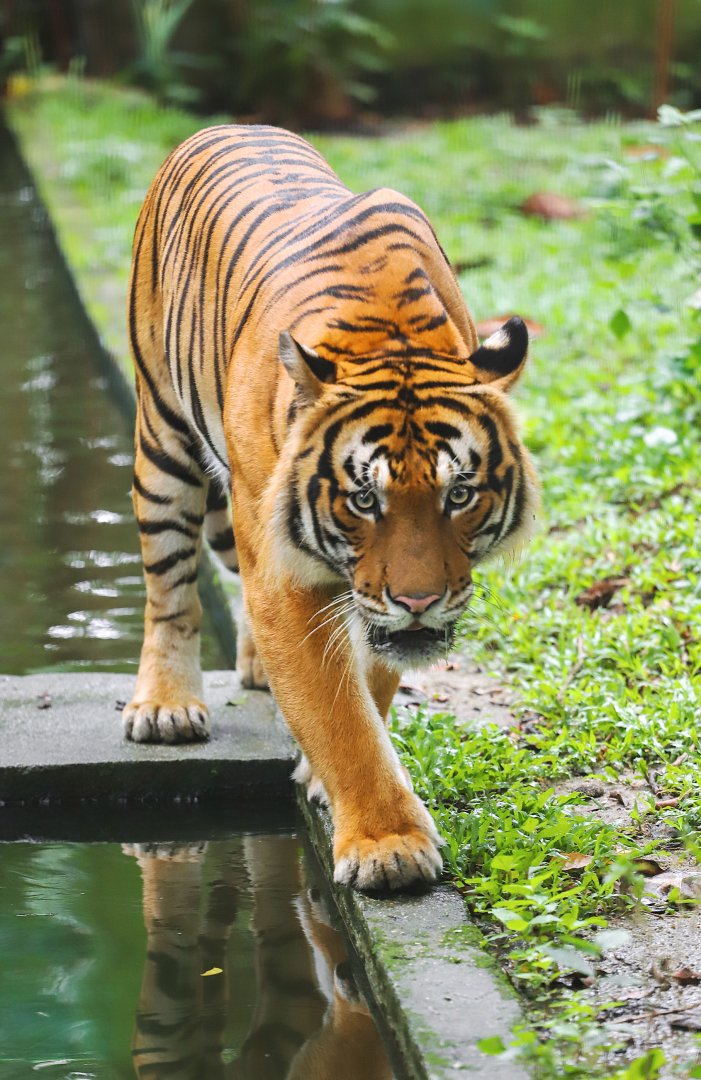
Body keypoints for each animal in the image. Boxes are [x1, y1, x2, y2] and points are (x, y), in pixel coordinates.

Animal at [123, 124, 539, 893]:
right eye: (364, 498)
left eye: (459, 494)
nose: (419, 601)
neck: (390, 332)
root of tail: (223, 125)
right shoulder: (287, 575)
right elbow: (338, 712)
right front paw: (387, 846)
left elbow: (370, 679)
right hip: (163, 443)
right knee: (171, 591)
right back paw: (165, 706)